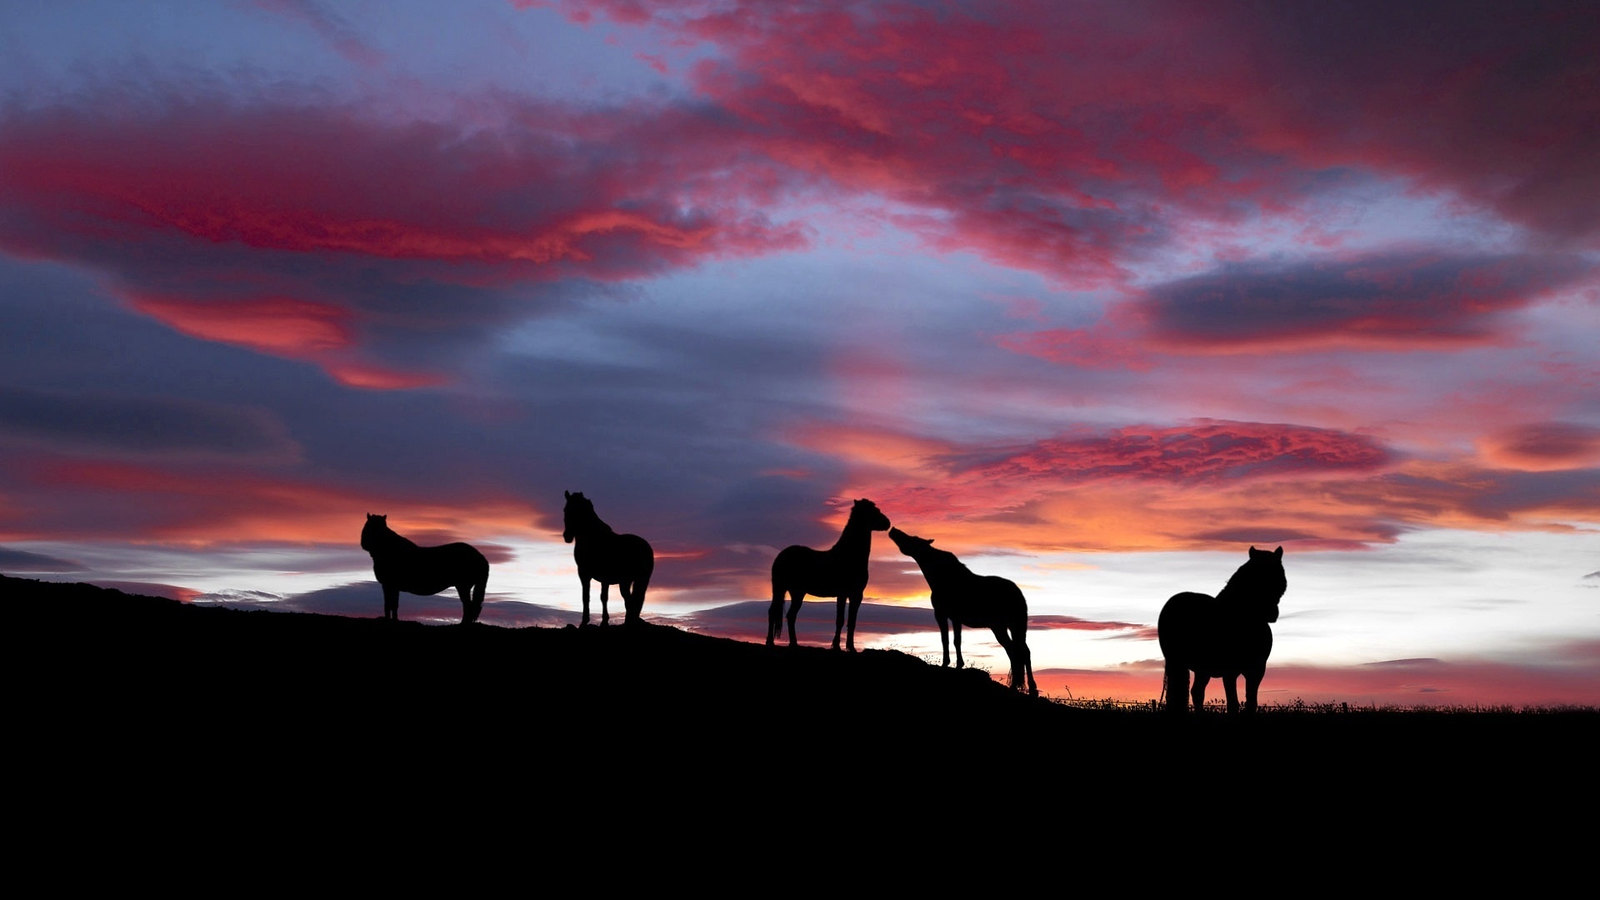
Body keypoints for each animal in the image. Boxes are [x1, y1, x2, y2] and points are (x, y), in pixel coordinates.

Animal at [359, 513, 490, 624]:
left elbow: (390, 604)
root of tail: (480, 556)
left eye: (377, 528)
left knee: (468, 605)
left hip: (463, 586)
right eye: (369, 526)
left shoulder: (389, 585)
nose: (365, 544)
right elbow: (392, 604)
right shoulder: (391, 586)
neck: (389, 550)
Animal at [562, 490, 654, 626]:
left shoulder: (586, 574)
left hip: (627, 581)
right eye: (565, 510)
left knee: (631, 601)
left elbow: (590, 597)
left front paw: (587, 621)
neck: (592, 537)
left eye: (578, 511)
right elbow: (598, 597)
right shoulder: (599, 577)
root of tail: (646, 548)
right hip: (637, 580)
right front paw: (603, 621)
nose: (567, 536)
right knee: (632, 600)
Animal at [768, 498, 891, 651]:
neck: (849, 556)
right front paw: (838, 646)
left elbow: (851, 621)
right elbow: (841, 620)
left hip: (794, 592)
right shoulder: (845, 593)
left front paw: (849, 647)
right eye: (874, 511)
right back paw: (772, 642)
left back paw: (793, 644)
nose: (887, 522)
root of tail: (781, 555)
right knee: (777, 613)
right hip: (783, 589)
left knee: (788, 615)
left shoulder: (855, 595)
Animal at [888, 527, 1037, 695]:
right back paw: (1021, 687)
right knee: (1018, 651)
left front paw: (951, 664)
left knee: (1018, 652)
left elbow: (950, 640)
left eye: (912, 539)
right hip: (1008, 626)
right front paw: (955, 663)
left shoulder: (945, 615)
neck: (943, 577)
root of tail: (1018, 593)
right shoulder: (950, 617)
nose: (893, 530)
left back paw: (1023, 687)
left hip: (1006, 626)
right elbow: (951, 640)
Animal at [1157, 545, 1286, 714]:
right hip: (1177, 662)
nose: (1272, 613)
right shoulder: (1230, 671)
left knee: (1197, 692)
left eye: (1278, 574)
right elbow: (1233, 704)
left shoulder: (1257, 671)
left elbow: (1251, 702)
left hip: (1202, 668)